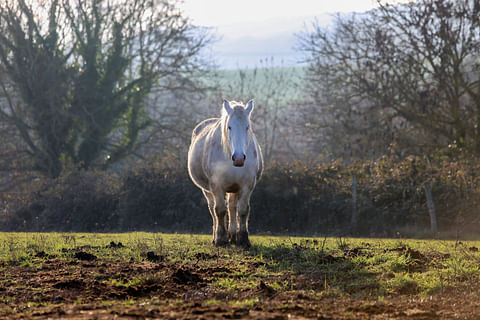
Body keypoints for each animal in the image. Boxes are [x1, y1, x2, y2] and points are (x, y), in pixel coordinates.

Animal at [188, 99, 264, 248]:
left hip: (234, 188)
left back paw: (233, 236)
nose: (239, 158)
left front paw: (243, 239)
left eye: (247, 127)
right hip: (207, 190)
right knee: (213, 209)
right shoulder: (216, 186)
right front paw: (220, 239)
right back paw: (217, 237)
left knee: (232, 207)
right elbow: (220, 210)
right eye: (229, 127)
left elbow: (242, 210)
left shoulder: (247, 186)